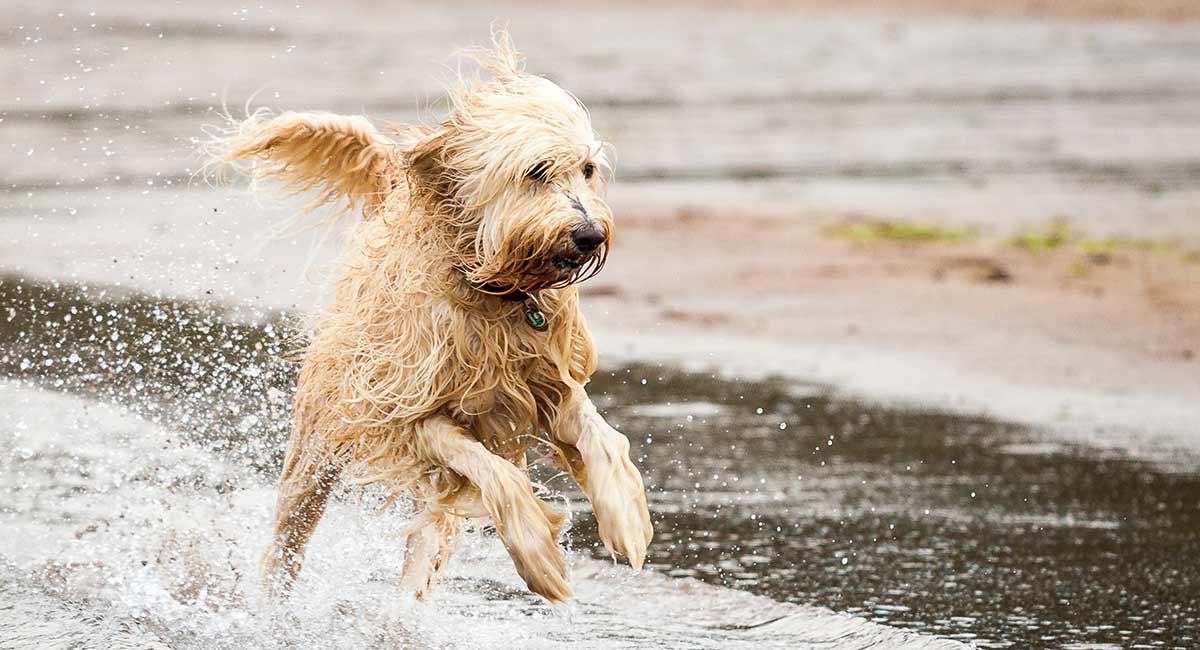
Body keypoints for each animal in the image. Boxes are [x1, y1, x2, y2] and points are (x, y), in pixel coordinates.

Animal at [211, 29, 652, 602]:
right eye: (536, 171)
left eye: (588, 169)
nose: (590, 235)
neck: (495, 293)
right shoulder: (405, 413)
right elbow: (496, 474)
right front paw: (538, 553)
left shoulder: (549, 385)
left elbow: (603, 437)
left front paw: (626, 517)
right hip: (318, 445)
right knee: (288, 539)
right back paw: (270, 604)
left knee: (422, 553)